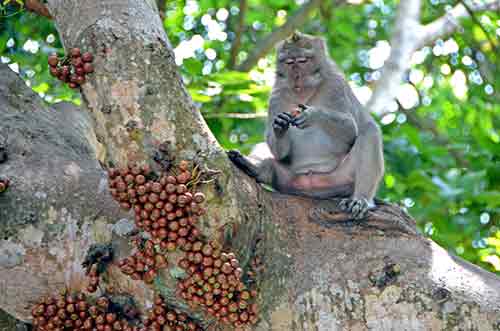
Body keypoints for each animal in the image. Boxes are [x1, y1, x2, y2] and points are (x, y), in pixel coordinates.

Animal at [229, 32, 384, 220]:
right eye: (289, 62)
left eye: (303, 60)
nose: (296, 76)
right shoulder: (276, 96)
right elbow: (278, 149)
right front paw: (280, 127)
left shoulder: (336, 85)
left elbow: (350, 130)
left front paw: (313, 115)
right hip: (288, 179)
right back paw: (260, 169)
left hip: (340, 179)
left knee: (369, 131)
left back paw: (361, 199)